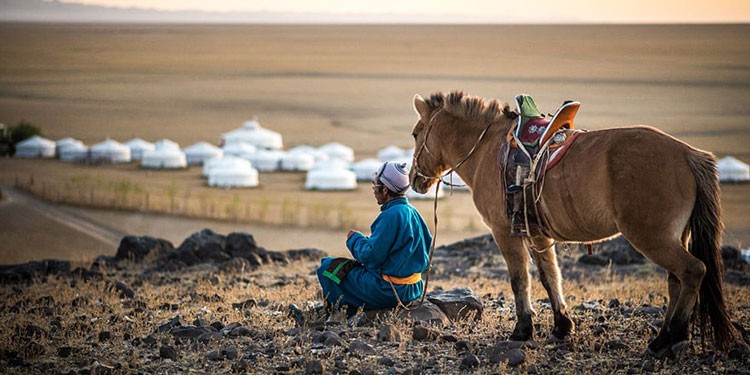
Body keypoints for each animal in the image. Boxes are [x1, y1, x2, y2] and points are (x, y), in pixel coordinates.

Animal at [408, 90, 744, 358]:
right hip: (675, 236)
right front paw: (561, 326)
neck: (487, 149)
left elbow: (520, 280)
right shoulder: (538, 235)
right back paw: (666, 337)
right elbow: (550, 277)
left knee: (693, 271)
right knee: (676, 281)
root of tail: (688, 154)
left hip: (652, 237)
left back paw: (670, 337)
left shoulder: (505, 233)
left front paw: (522, 330)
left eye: (415, 133)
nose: (414, 180)